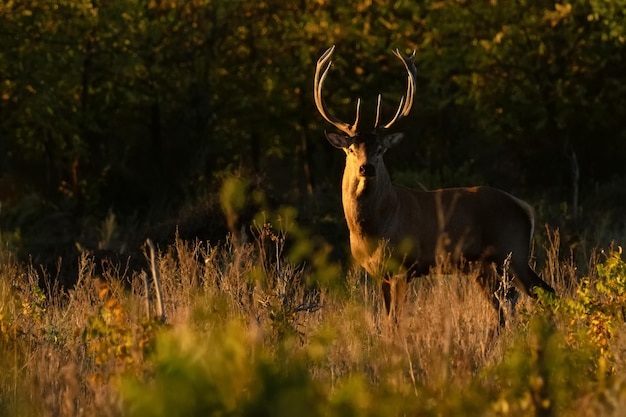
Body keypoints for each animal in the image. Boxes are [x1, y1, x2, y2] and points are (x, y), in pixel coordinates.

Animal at [314, 46, 552, 324]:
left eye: (381, 150)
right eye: (351, 149)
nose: (367, 168)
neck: (374, 226)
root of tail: (523, 206)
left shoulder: (404, 266)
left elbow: (395, 320)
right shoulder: (378, 274)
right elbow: (386, 319)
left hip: (513, 250)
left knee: (544, 292)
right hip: (483, 266)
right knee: (503, 304)